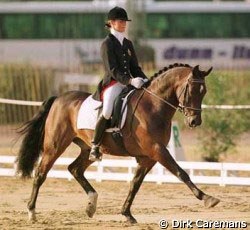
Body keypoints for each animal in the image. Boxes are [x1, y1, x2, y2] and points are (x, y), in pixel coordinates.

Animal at [16, 62, 220, 223]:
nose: (194, 121)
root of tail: (59, 98)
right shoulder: (157, 150)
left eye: (204, 92)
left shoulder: (148, 157)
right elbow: (181, 172)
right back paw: (32, 212)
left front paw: (127, 214)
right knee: (41, 173)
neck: (154, 106)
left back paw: (91, 205)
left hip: (87, 148)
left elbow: (135, 184)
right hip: (55, 146)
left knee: (75, 169)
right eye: (191, 90)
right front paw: (207, 198)